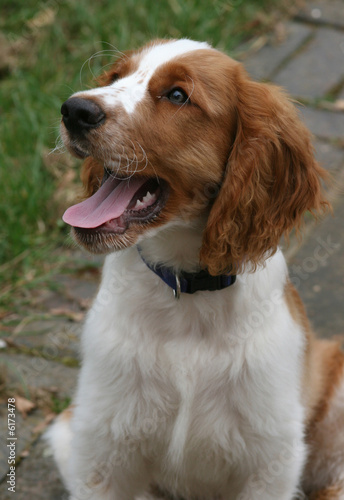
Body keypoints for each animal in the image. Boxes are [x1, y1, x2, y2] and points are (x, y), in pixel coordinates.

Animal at [46, 39, 344, 500]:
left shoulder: (270, 461)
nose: (74, 110)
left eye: (177, 95)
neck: (186, 290)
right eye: (115, 77)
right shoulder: (99, 448)